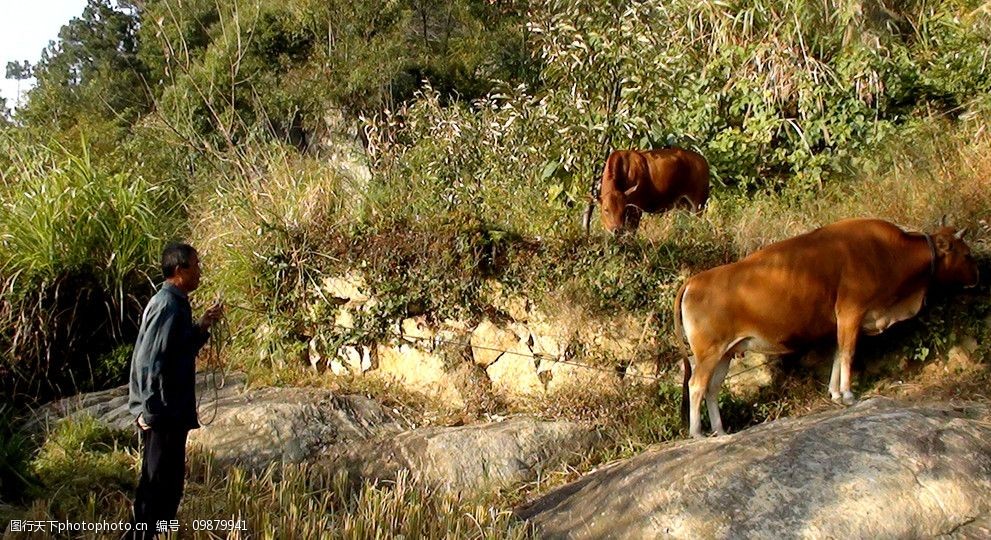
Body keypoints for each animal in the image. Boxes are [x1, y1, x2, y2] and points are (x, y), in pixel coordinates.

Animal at [672, 219, 980, 438]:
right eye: (966, 254)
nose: (977, 277)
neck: (887, 252)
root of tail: (694, 281)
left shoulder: (840, 323)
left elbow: (837, 355)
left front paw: (834, 393)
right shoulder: (851, 313)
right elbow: (848, 354)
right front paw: (848, 395)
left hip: (726, 353)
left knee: (712, 389)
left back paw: (720, 431)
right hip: (709, 353)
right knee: (696, 385)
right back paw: (697, 434)